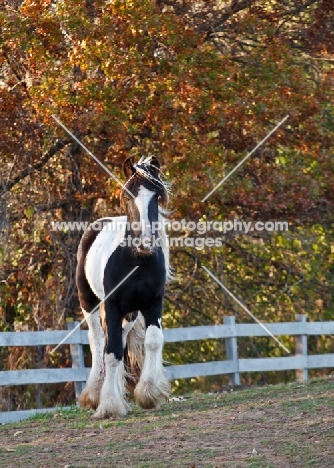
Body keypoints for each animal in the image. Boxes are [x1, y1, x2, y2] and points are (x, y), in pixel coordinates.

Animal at [74, 155, 171, 418]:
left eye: (156, 196)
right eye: (128, 195)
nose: (145, 242)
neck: (136, 261)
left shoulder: (153, 303)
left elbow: (153, 340)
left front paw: (148, 394)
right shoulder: (113, 305)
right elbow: (112, 351)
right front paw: (109, 405)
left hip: (130, 313)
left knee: (120, 338)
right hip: (89, 303)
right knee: (97, 340)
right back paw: (94, 394)